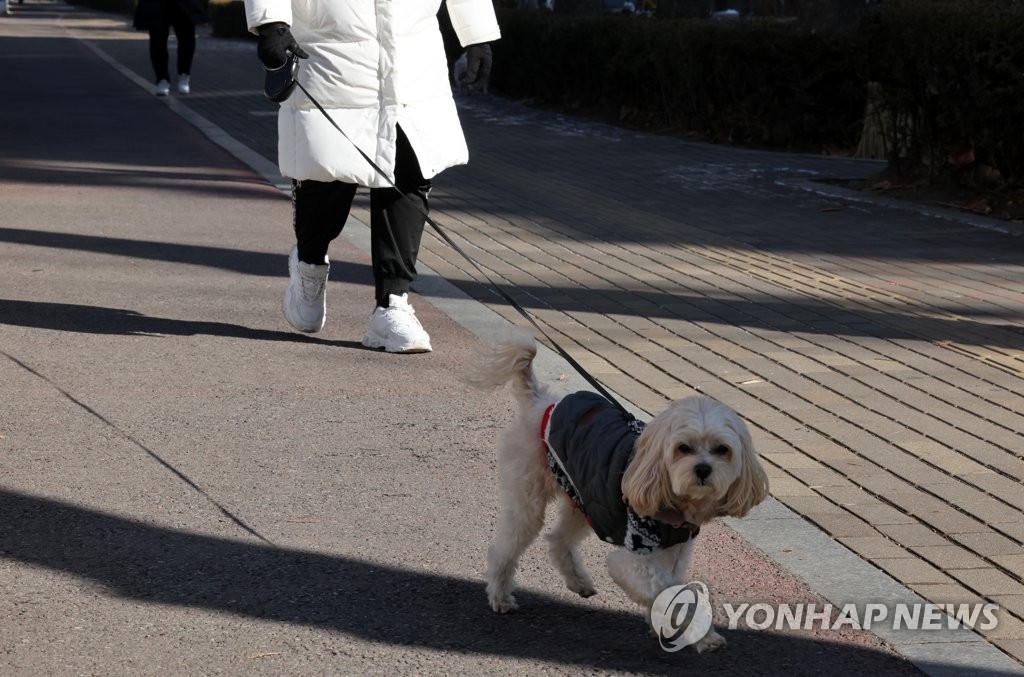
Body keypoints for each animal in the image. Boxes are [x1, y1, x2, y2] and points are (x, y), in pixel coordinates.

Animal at [468, 329, 765, 651]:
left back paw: (578, 581)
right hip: (529, 498)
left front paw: (660, 624)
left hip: (585, 501)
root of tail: (542, 402)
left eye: (722, 449)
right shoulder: (635, 557)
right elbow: (674, 594)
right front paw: (703, 635)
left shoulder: (675, 550)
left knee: (559, 540)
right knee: (505, 548)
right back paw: (500, 595)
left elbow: (669, 589)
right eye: (683, 448)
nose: (702, 469)